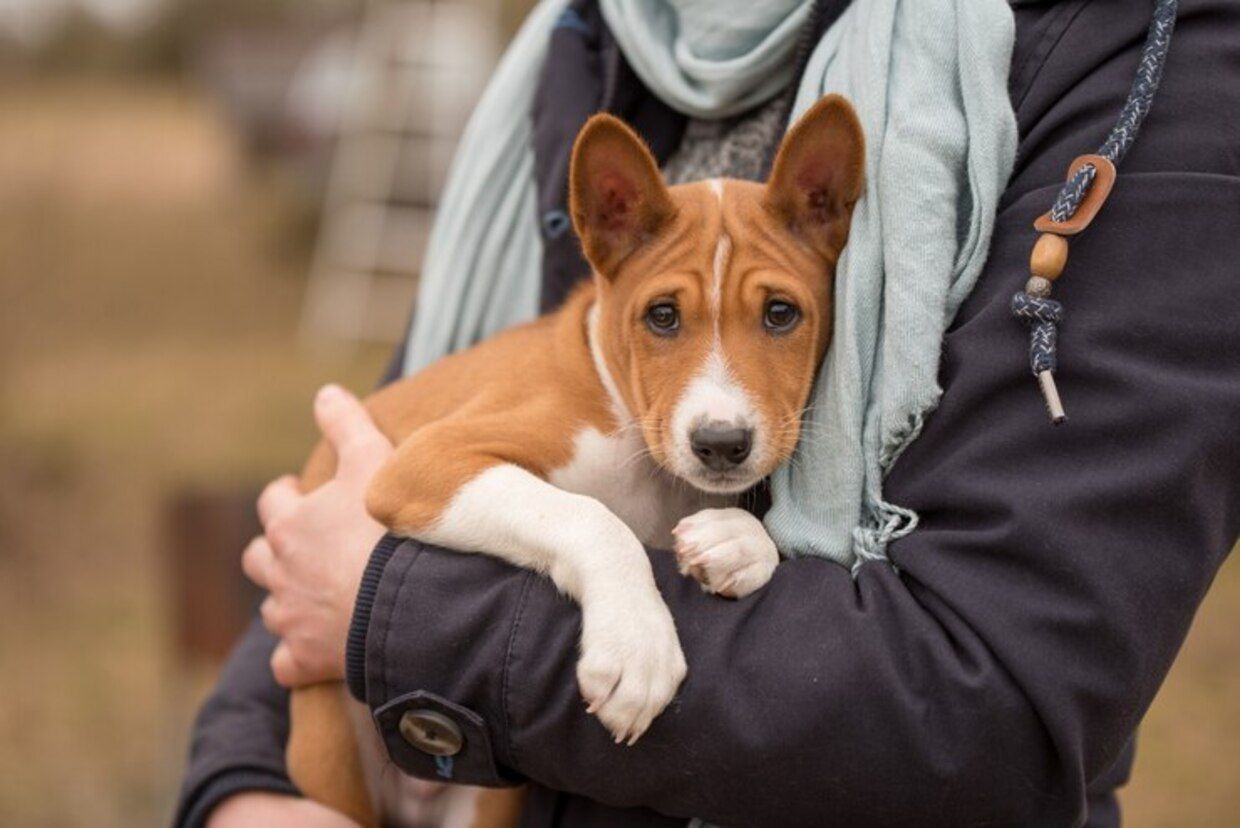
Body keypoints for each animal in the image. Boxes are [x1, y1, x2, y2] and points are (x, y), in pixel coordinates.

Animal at [286, 93, 868, 823]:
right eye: (662, 316)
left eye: (782, 314)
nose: (721, 443)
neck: (634, 438)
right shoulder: (426, 461)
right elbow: (587, 515)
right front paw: (637, 645)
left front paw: (738, 543)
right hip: (331, 760)